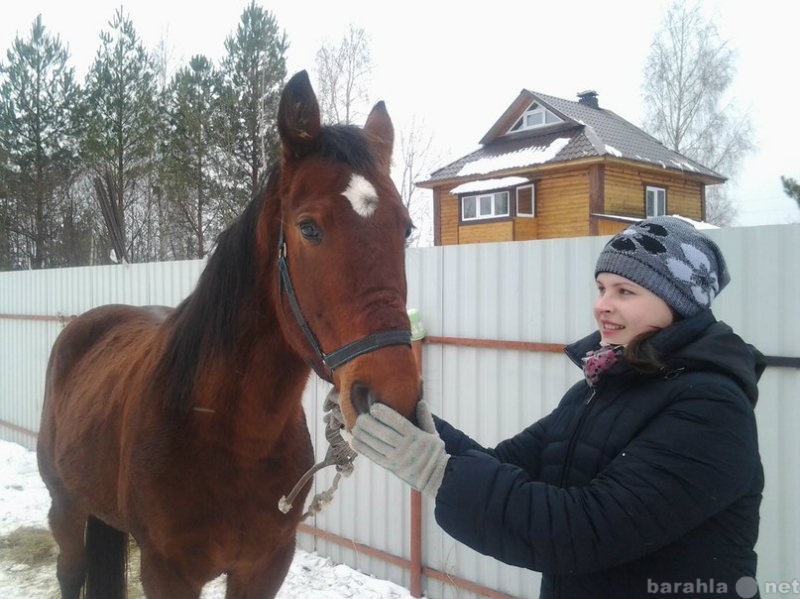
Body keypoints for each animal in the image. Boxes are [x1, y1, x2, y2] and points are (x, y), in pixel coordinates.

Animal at [36, 71, 424, 599]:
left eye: (405, 228)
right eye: (308, 228)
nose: (392, 394)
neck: (227, 434)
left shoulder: (265, 566)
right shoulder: (167, 574)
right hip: (65, 507)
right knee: (69, 570)